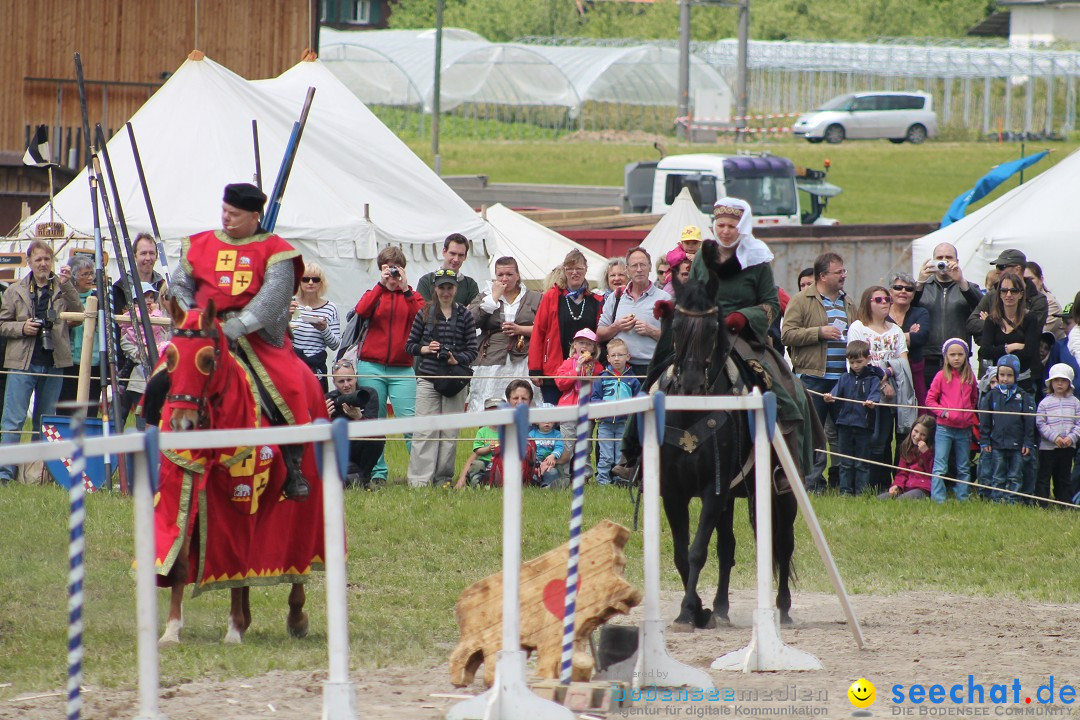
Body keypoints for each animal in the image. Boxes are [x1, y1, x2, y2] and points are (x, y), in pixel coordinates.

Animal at [652, 274, 799, 630]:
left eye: (711, 329)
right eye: (676, 326)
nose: (691, 385)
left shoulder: (711, 492)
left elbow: (696, 551)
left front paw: (689, 611)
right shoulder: (674, 493)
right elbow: (683, 554)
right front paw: (697, 610)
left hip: (781, 491)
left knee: (783, 544)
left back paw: (783, 609)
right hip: (732, 496)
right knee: (727, 546)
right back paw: (720, 608)